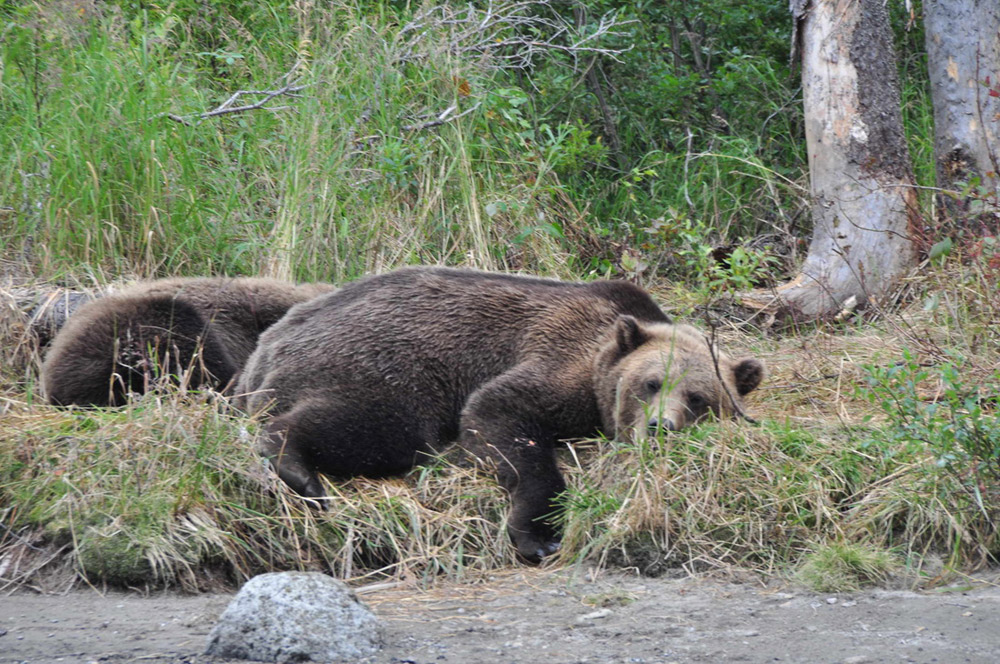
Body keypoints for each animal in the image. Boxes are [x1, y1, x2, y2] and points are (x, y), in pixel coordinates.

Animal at [236, 268, 764, 564]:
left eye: (698, 398)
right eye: (651, 383)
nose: (659, 427)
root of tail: (265, 347)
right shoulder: (556, 358)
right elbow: (500, 416)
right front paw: (539, 536)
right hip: (381, 362)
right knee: (380, 427)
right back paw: (299, 471)